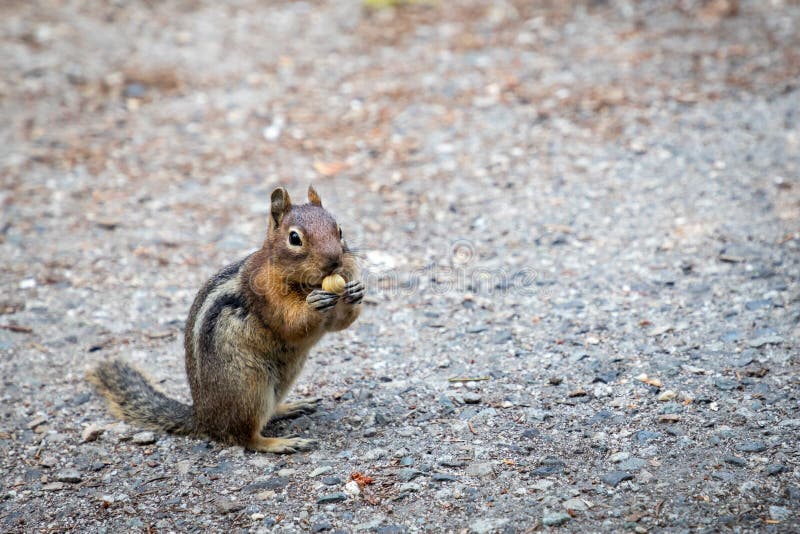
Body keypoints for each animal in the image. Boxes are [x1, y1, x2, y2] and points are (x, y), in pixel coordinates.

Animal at [88, 186, 364, 453]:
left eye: (339, 229)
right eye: (294, 238)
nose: (335, 261)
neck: (307, 284)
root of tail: (202, 418)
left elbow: (340, 324)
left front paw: (355, 292)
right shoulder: (265, 296)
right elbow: (290, 324)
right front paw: (313, 304)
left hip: (281, 380)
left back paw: (291, 407)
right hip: (249, 387)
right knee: (243, 437)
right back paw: (279, 443)